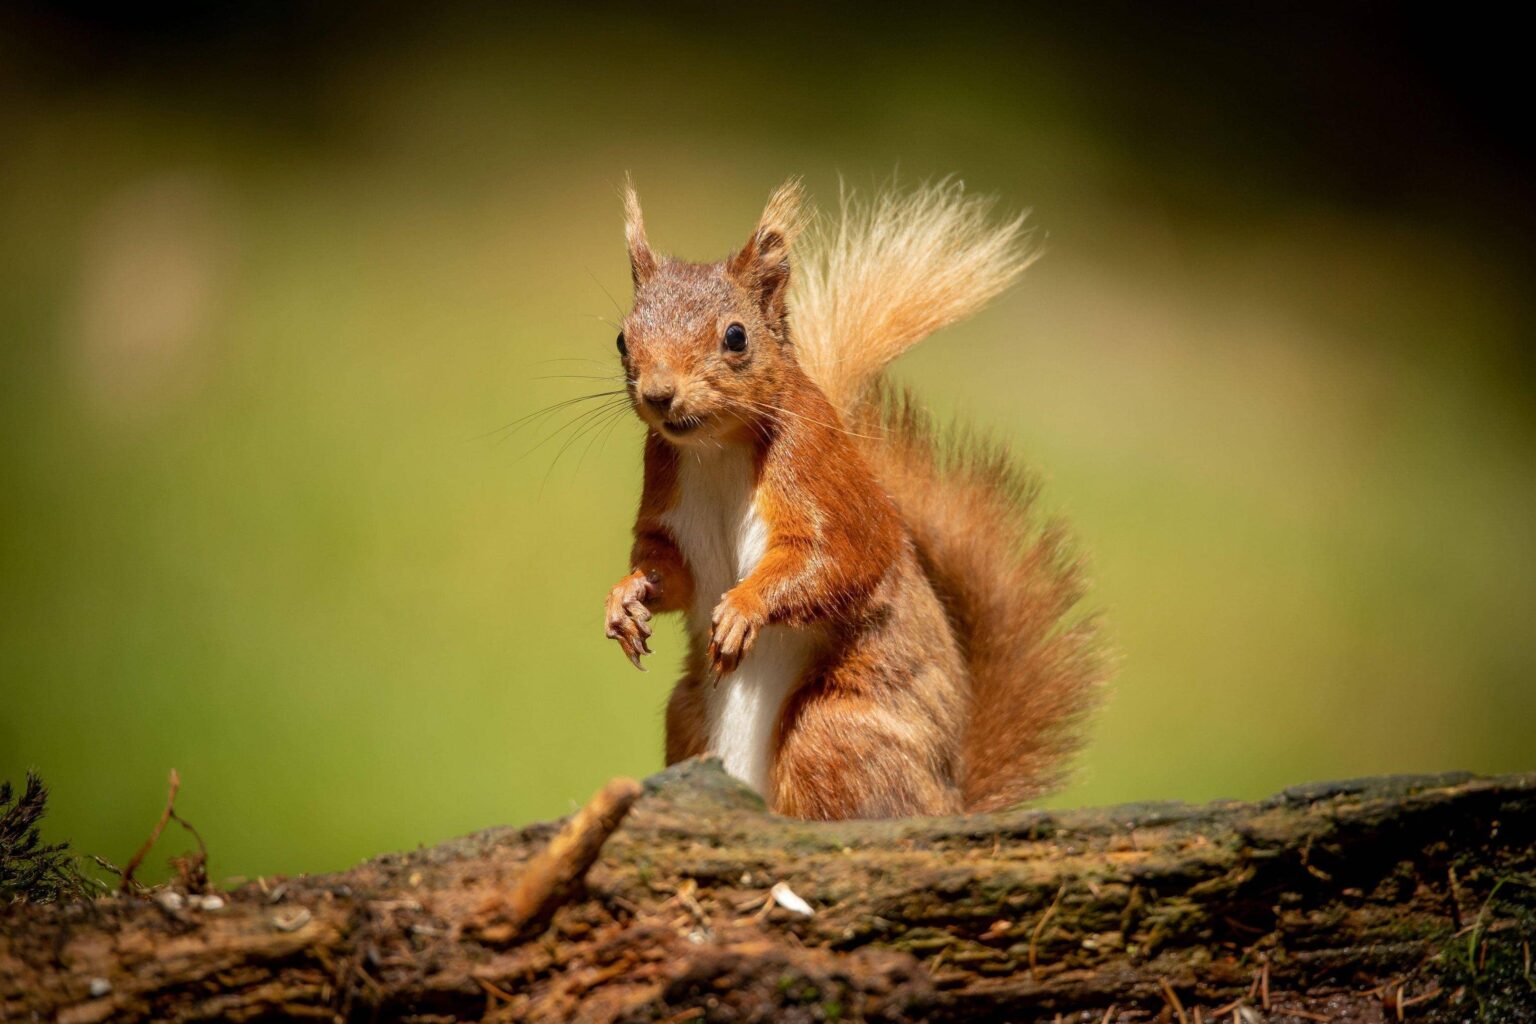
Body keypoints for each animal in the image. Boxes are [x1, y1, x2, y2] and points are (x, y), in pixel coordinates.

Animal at [602, 176, 1105, 816]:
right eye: (623, 339)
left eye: (736, 337)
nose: (659, 393)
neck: (715, 451)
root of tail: (950, 802)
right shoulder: (669, 504)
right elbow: (669, 570)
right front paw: (625, 599)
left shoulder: (826, 480)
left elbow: (837, 558)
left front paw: (744, 607)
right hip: (688, 716)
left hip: (832, 731)